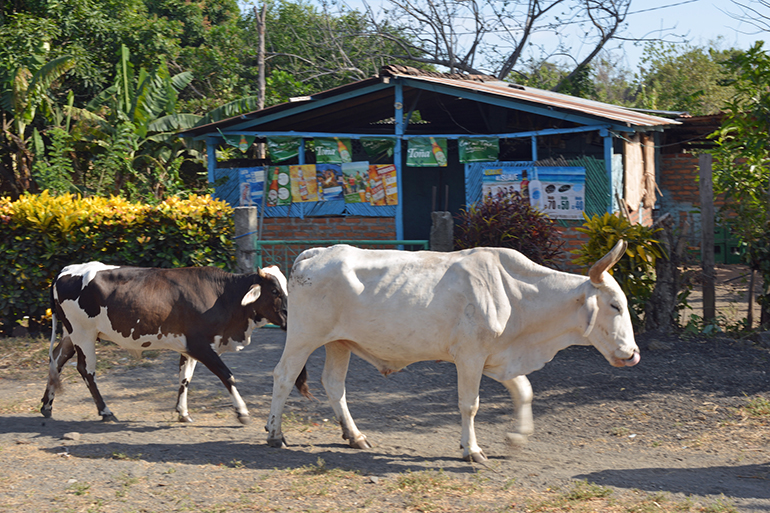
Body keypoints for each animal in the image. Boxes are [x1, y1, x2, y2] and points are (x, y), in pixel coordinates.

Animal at [41, 262, 306, 422]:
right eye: (275, 291)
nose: (292, 317)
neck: (223, 297)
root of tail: (65, 270)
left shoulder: (189, 347)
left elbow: (184, 379)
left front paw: (182, 412)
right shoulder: (202, 345)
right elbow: (227, 375)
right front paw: (241, 411)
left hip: (71, 334)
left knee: (56, 360)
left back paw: (47, 405)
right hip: (83, 334)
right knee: (85, 370)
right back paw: (105, 411)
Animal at [264, 239, 636, 460]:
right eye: (615, 305)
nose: (633, 354)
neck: (516, 294)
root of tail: (314, 253)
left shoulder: (497, 357)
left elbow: (524, 391)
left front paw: (517, 436)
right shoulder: (470, 357)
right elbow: (470, 405)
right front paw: (471, 449)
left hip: (339, 343)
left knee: (334, 384)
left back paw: (355, 436)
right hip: (303, 336)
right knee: (283, 376)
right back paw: (275, 434)